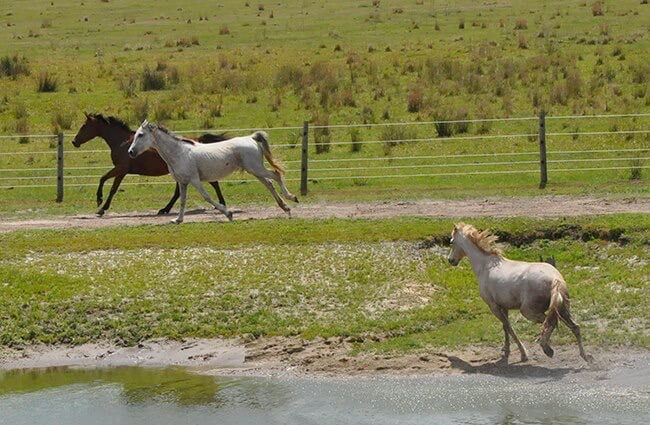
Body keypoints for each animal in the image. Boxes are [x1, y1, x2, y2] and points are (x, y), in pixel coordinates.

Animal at [70, 112, 228, 215]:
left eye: (84, 126)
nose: (74, 141)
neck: (122, 142)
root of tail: (198, 141)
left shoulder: (120, 169)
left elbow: (106, 182)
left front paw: (100, 204)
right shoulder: (121, 171)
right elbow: (110, 185)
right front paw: (102, 206)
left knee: (213, 183)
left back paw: (221, 204)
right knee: (181, 191)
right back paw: (165, 209)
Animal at [127, 119, 298, 222]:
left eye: (140, 135)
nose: (131, 152)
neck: (179, 152)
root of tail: (250, 138)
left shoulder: (195, 180)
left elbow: (207, 197)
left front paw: (228, 214)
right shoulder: (183, 182)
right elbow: (182, 200)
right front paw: (178, 220)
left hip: (255, 168)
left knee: (275, 175)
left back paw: (292, 198)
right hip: (254, 170)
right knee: (269, 183)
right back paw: (285, 208)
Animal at [446, 220, 592, 362]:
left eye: (451, 242)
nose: (450, 260)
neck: (485, 266)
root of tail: (555, 280)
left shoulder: (493, 306)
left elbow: (509, 327)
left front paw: (523, 354)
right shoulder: (503, 306)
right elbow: (505, 328)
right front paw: (506, 350)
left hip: (528, 311)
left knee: (550, 322)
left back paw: (547, 348)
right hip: (562, 309)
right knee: (574, 327)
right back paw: (585, 356)